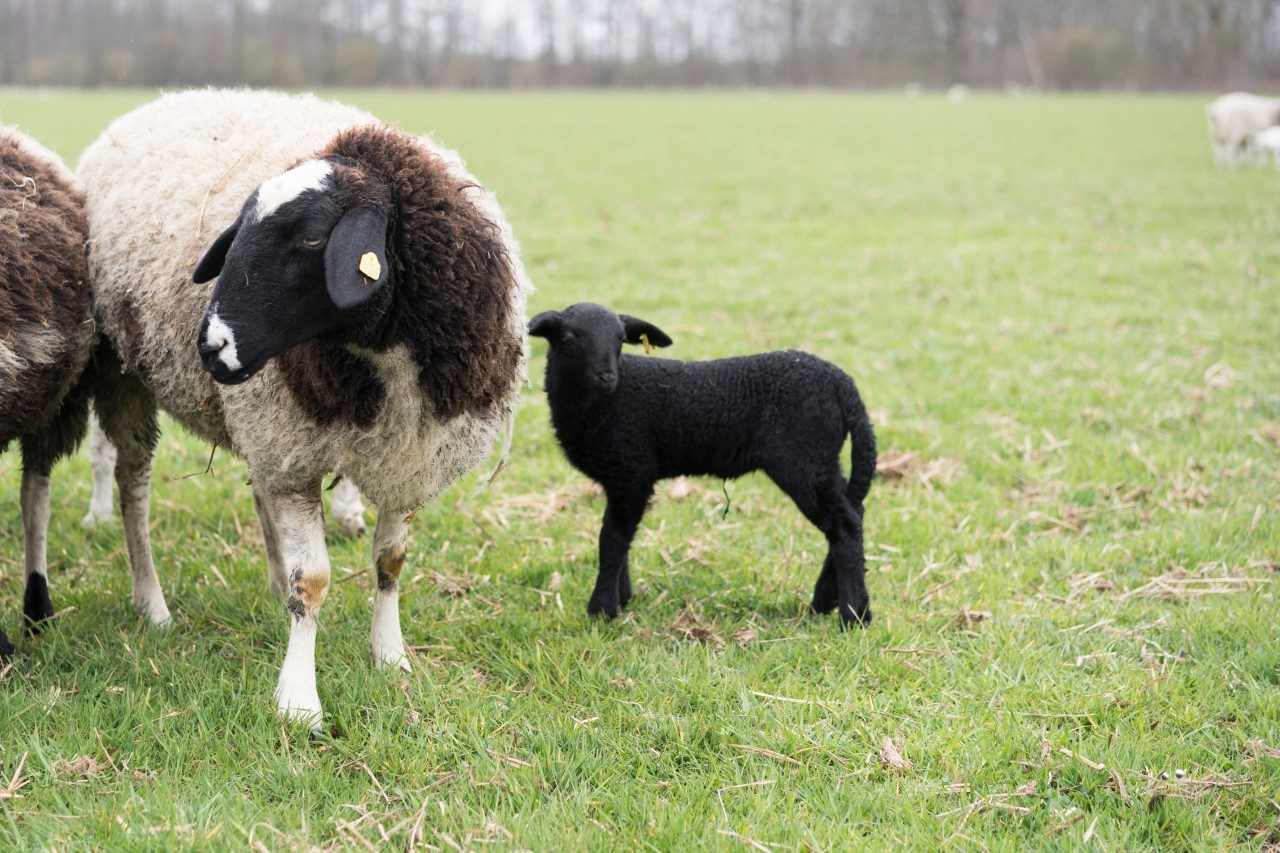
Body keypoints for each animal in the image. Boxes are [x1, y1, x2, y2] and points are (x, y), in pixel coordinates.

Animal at [78, 86, 529, 727]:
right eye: (238, 230)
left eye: (314, 238)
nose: (210, 346)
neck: (383, 355)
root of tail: (155, 103)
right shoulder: (295, 455)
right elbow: (311, 580)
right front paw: (298, 701)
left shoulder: (409, 457)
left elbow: (391, 560)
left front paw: (390, 656)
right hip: (127, 371)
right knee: (132, 484)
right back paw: (152, 602)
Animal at [524, 302, 875, 622]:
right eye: (570, 339)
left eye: (621, 340)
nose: (606, 377)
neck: (608, 402)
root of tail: (844, 385)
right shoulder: (619, 477)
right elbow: (619, 538)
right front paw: (622, 598)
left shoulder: (633, 471)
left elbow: (612, 539)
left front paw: (602, 609)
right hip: (823, 462)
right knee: (854, 512)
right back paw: (825, 602)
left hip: (803, 461)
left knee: (844, 526)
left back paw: (854, 615)